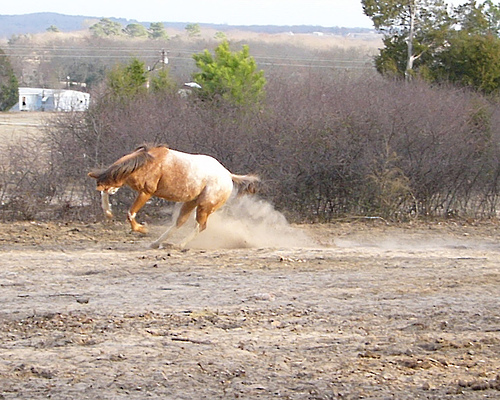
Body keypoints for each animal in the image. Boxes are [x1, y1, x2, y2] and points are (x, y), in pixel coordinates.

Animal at [88, 144, 259, 248]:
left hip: (204, 207)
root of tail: (228, 175)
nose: (111, 190)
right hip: (190, 203)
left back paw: (180, 245)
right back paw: (156, 243)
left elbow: (131, 213)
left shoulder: (146, 192)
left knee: (200, 226)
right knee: (179, 223)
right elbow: (105, 196)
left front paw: (141, 229)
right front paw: (108, 212)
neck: (148, 162)